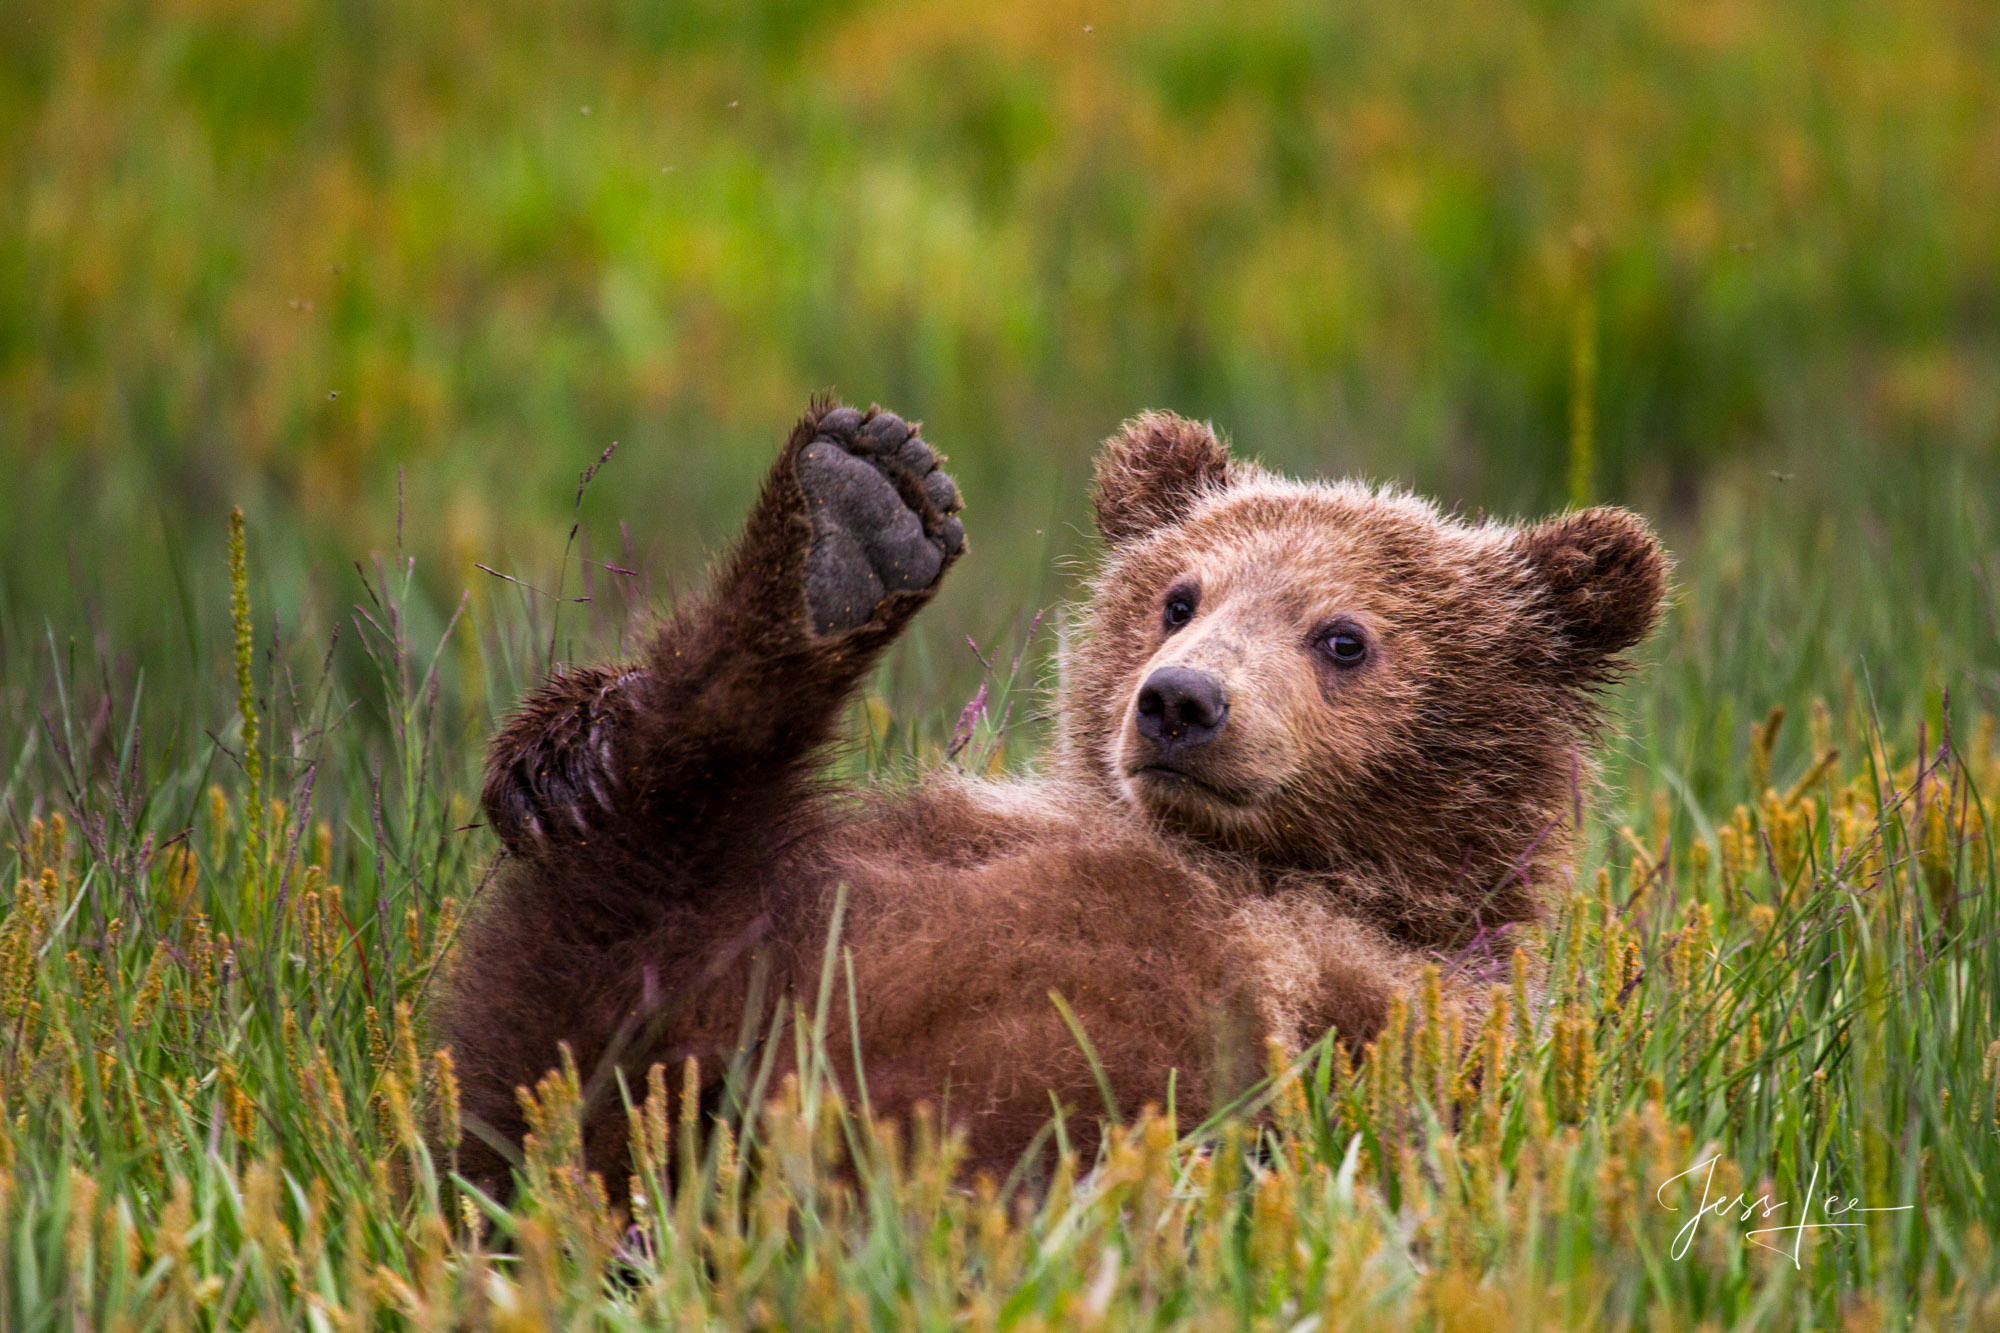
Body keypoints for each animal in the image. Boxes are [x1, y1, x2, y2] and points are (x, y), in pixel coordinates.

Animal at [442, 396, 1672, 1192]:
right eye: (1179, 596)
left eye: (1343, 637)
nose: (1179, 701)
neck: (1258, 865)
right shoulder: (981, 829)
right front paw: (553, 757)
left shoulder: (1402, 1010)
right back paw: (849, 520)